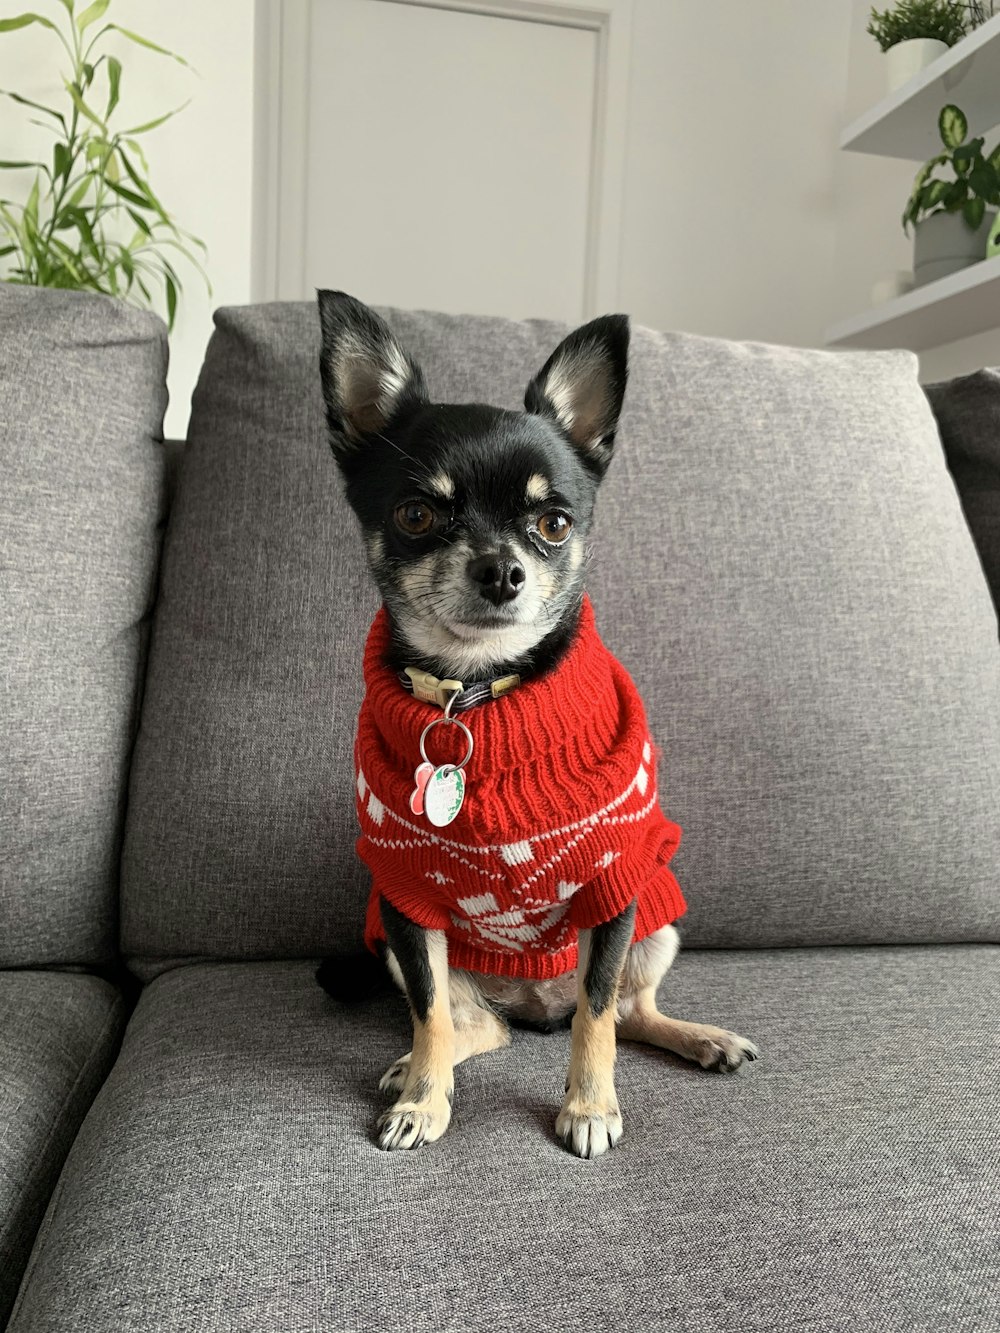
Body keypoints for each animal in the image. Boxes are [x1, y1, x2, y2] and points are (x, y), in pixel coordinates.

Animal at [317, 291, 757, 1157]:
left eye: (554, 523)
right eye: (415, 514)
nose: (500, 568)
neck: (480, 691)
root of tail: (532, 1003)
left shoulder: (614, 889)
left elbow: (598, 1015)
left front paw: (589, 1105)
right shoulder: (406, 902)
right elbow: (428, 1015)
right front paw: (423, 1101)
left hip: (658, 917)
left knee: (627, 1009)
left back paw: (698, 1036)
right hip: (396, 938)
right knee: (475, 1025)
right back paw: (424, 1063)